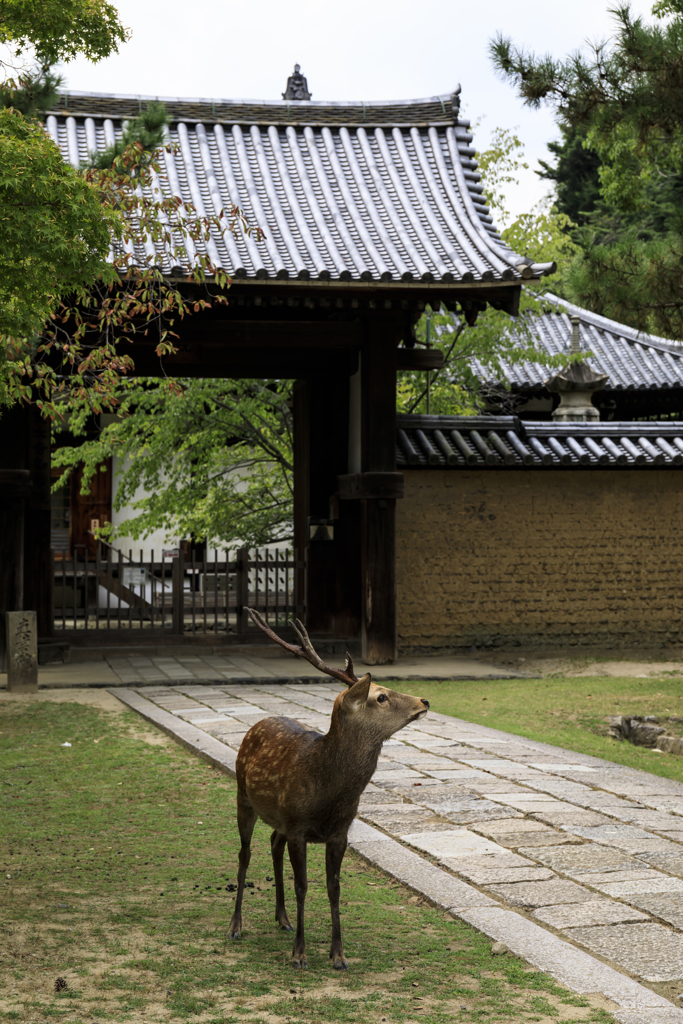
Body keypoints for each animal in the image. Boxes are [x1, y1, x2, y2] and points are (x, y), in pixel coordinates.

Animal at [229, 606, 432, 966]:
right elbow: (303, 885)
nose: (424, 701)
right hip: (243, 796)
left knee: (273, 842)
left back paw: (282, 918)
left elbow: (334, 888)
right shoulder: (298, 827)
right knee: (245, 853)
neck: (328, 794)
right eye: (381, 697)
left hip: (280, 818)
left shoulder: (340, 832)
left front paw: (338, 954)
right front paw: (299, 953)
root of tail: (256, 723)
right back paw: (236, 926)